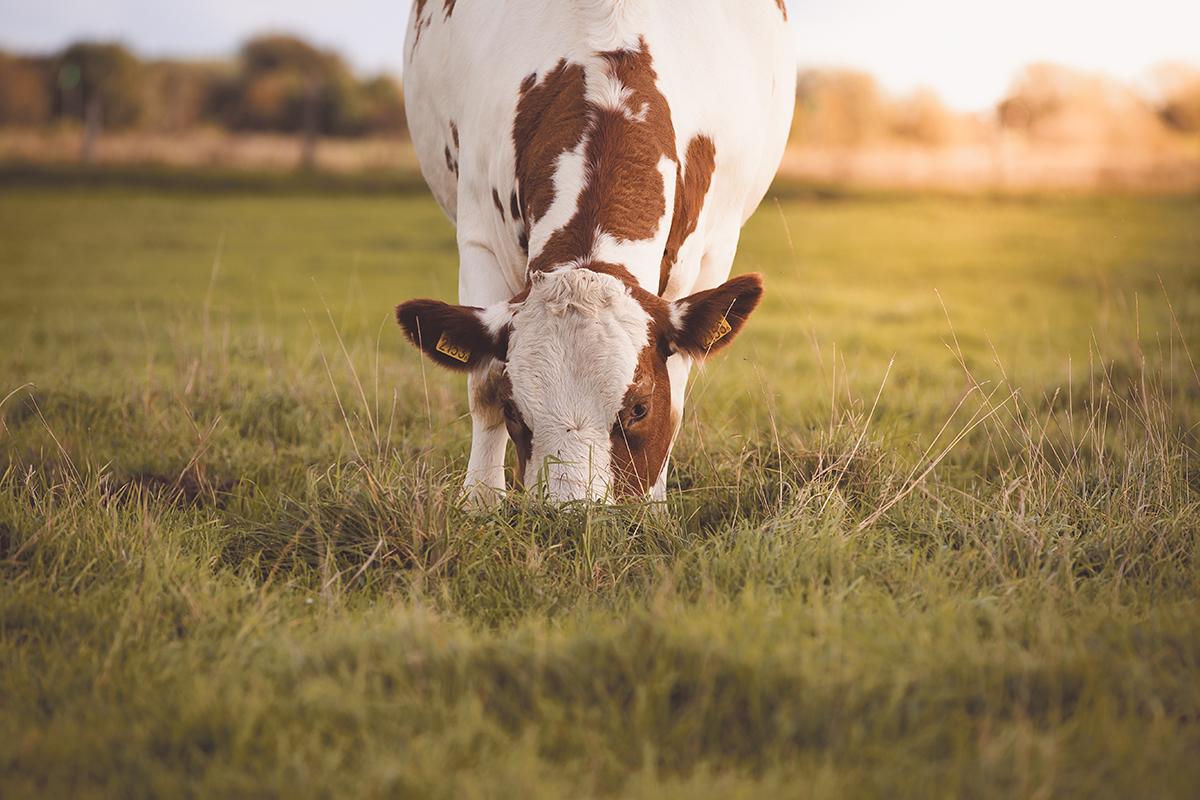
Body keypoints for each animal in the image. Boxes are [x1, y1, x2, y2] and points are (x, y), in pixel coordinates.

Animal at [396, 0, 796, 506]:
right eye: (514, 409)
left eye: (639, 408)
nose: (573, 514)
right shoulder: (478, 236)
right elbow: (482, 384)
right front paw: (480, 503)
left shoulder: (712, 252)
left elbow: (677, 393)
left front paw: (654, 506)